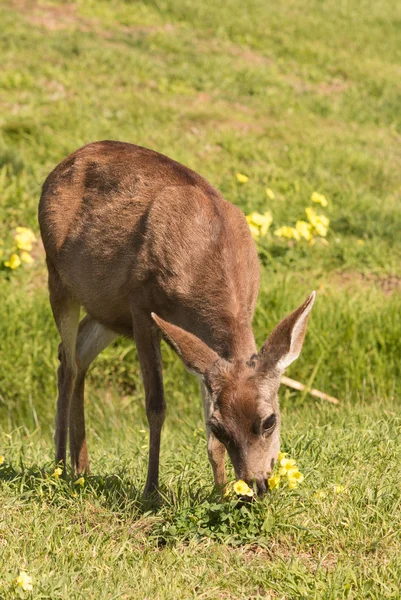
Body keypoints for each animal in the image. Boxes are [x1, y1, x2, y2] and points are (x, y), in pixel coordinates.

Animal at [37, 141, 314, 496]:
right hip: (57, 275)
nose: (254, 485)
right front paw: (151, 490)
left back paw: (81, 467)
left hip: (106, 309)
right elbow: (156, 405)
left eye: (269, 420)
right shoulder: (141, 305)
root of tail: (61, 165)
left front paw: (220, 491)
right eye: (222, 428)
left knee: (78, 353)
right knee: (69, 362)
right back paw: (59, 467)